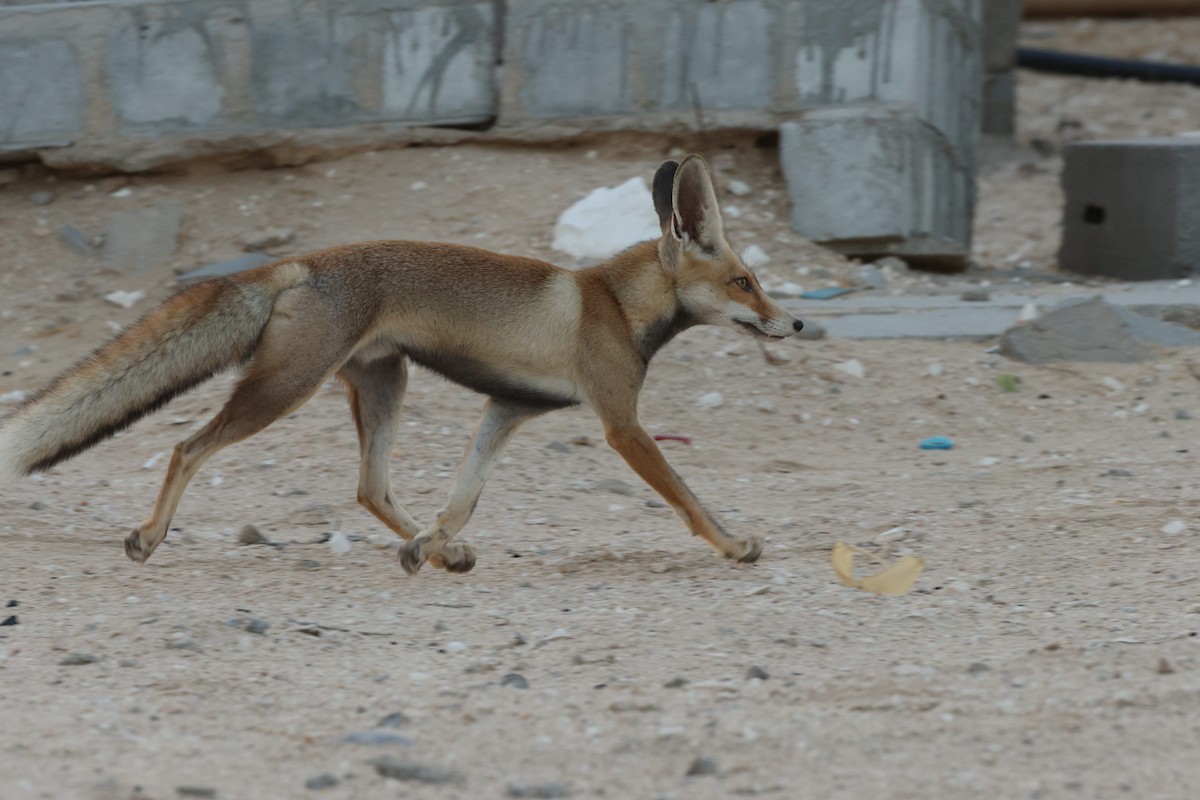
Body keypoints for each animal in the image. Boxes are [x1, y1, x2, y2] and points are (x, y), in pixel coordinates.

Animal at [0, 154, 803, 574]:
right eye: (745, 282)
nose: (795, 322)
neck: (613, 302)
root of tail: (303, 261)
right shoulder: (621, 424)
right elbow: (689, 497)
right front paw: (733, 544)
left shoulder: (509, 407)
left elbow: (463, 498)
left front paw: (434, 544)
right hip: (285, 390)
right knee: (186, 446)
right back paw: (149, 536)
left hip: (387, 385)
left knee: (368, 488)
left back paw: (437, 553)